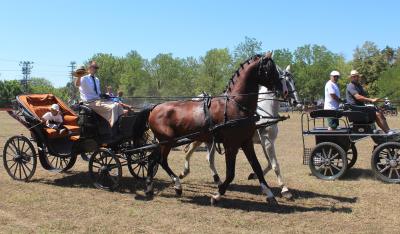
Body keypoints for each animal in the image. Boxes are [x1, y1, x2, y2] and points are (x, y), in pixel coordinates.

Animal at [138, 51, 282, 205]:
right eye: (270, 69)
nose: (280, 89)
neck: (236, 105)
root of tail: (154, 107)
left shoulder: (246, 143)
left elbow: (257, 167)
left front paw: (270, 194)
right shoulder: (231, 145)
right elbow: (230, 174)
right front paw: (217, 195)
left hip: (165, 142)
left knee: (155, 160)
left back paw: (159, 187)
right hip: (167, 141)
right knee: (158, 160)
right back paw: (169, 185)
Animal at [179, 65, 300, 199]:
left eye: (293, 82)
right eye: (285, 81)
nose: (296, 102)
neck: (265, 113)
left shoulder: (265, 142)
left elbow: (268, 163)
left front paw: (254, 176)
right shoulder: (267, 141)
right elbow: (275, 165)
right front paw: (285, 189)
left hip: (209, 139)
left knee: (208, 159)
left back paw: (214, 180)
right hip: (201, 137)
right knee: (191, 152)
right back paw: (184, 173)